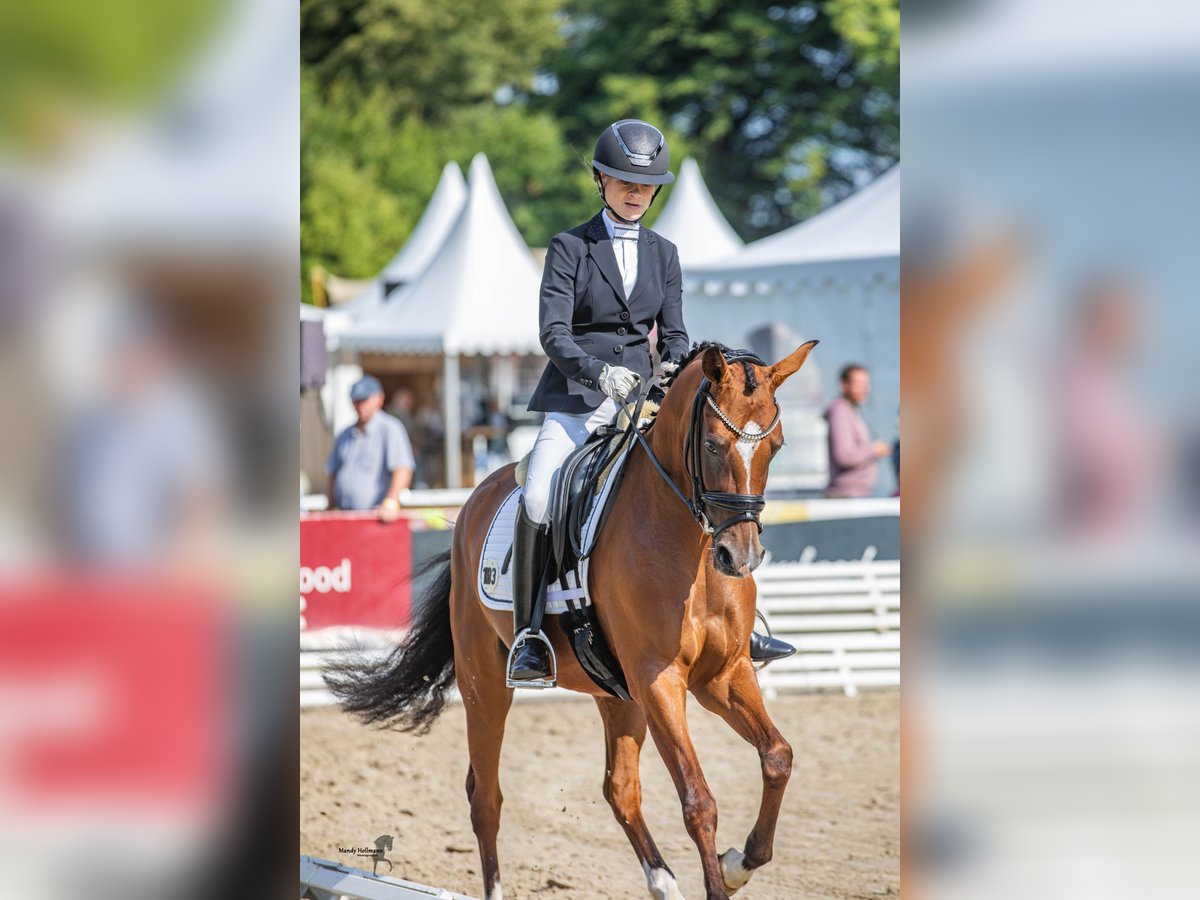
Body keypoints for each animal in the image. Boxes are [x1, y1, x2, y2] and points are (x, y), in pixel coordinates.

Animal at [326, 340, 816, 900]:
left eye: (776, 446)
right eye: (713, 446)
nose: (740, 557)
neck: (687, 544)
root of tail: (474, 499)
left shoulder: (722, 675)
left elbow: (777, 757)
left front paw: (738, 864)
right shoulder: (660, 682)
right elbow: (698, 801)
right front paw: (724, 872)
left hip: (617, 694)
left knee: (620, 789)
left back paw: (664, 883)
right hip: (484, 684)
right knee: (485, 796)